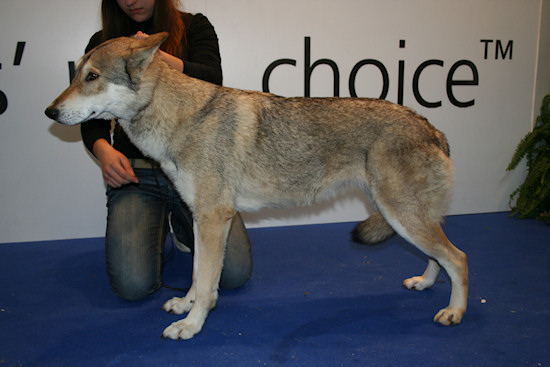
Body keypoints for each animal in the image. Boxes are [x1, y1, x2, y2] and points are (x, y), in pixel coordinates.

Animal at [46, 33, 470, 340]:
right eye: (75, 74)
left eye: (92, 76)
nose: (50, 111)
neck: (181, 117)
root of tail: (431, 128)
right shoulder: (201, 219)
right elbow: (198, 275)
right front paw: (185, 306)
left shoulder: (214, 218)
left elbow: (206, 280)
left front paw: (191, 325)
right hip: (403, 217)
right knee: (440, 255)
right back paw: (424, 283)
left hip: (401, 216)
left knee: (459, 257)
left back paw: (454, 311)